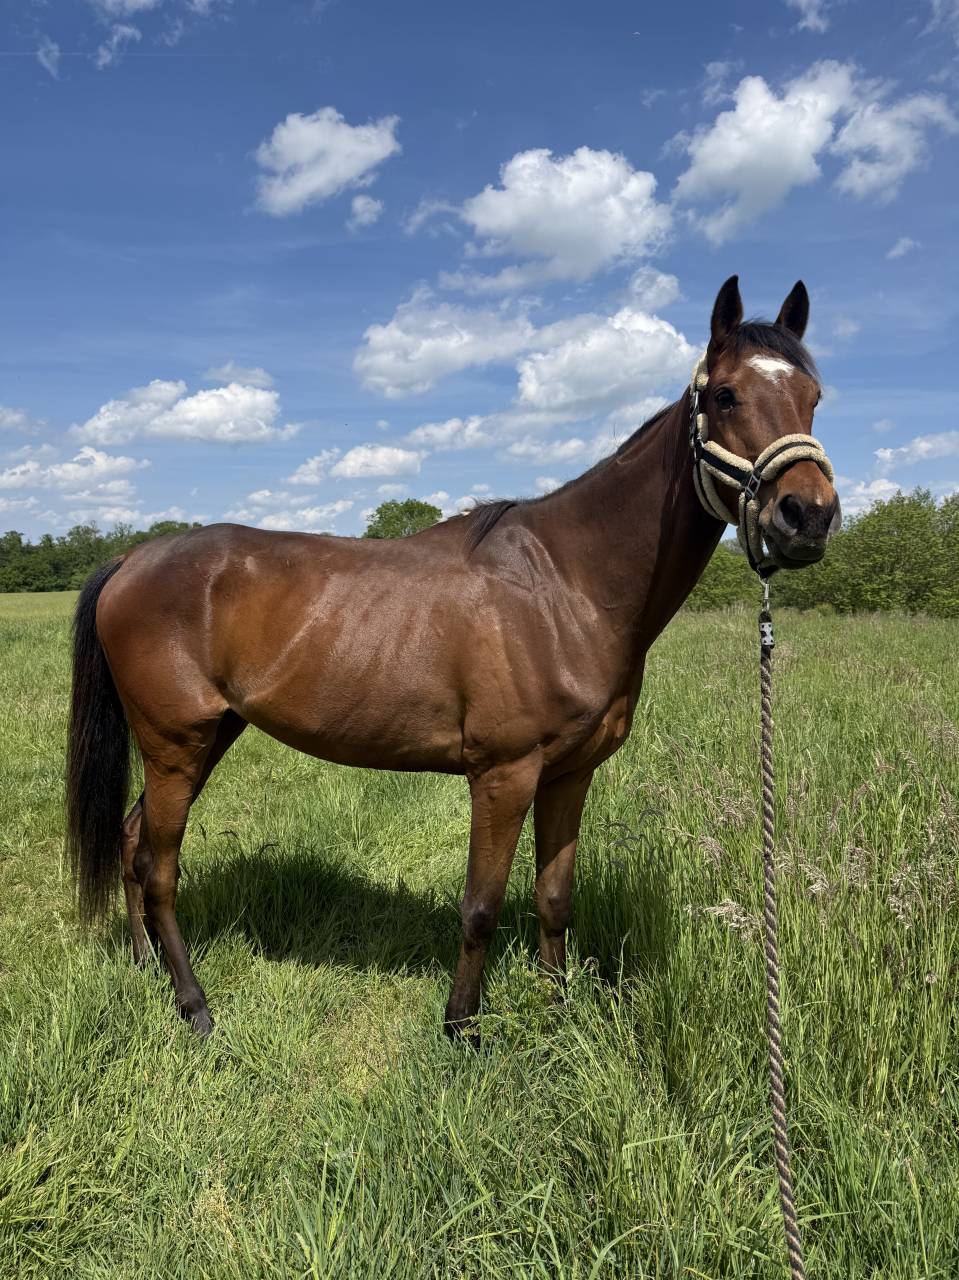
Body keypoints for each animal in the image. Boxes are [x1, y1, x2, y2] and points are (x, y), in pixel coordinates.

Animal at [66, 276, 840, 1041]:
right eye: (725, 395)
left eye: (814, 396)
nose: (808, 515)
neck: (567, 584)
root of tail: (133, 557)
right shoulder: (502, 775)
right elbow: (481, 907)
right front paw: (462, 1025)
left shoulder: (569, 775)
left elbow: (553, 897)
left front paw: (555, 1014)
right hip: (175, 743)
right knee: (158, 867)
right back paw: (193, 1004)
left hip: (208, 736)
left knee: (133, 844)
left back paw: (145, 966)